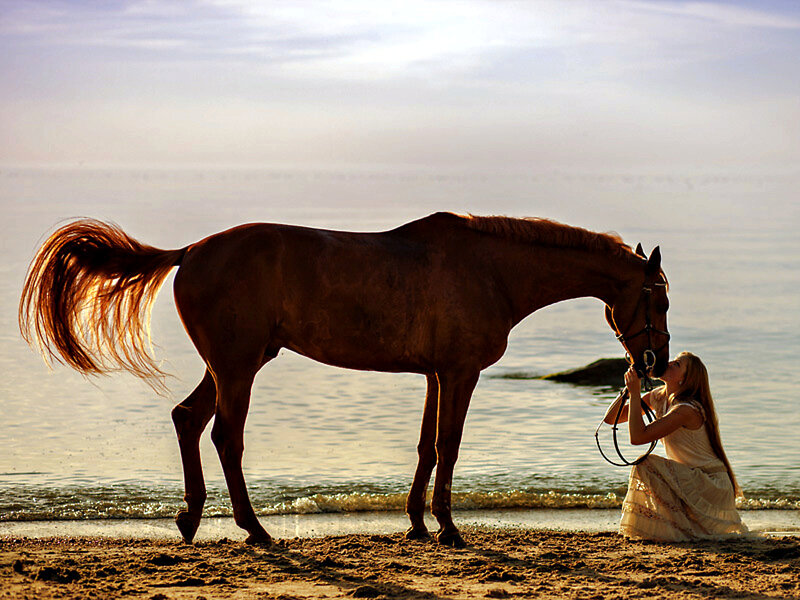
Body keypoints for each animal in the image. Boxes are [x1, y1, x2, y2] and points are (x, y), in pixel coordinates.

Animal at [19, 212, 670, 547]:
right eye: (657, 299)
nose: (656, 363)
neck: (490, 270)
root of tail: (191, 251)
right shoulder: (459, 374)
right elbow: (449, 447)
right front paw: (448, 527)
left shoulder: (435, 374)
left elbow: (426, 448)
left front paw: (416, 522)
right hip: (238, 368)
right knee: (225, 437)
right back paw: (254, 529)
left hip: (232, 365)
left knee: (187, 419)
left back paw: (190, 519)